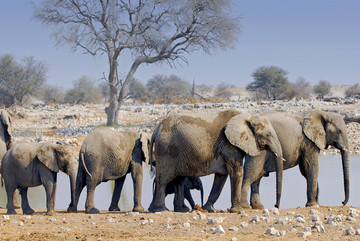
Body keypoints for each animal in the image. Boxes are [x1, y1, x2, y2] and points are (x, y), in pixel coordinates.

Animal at [149, 110, 284, 213]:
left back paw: (181, 210)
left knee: (179, 181)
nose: (276, 206)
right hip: (166, 149)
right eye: (268, 135)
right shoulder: (229, 145)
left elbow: (221, 177)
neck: (246, 116)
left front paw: (210, 210)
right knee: (163, 179)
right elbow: (236, 172)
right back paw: (161, 210)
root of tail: (156, 130)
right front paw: (237, 210)